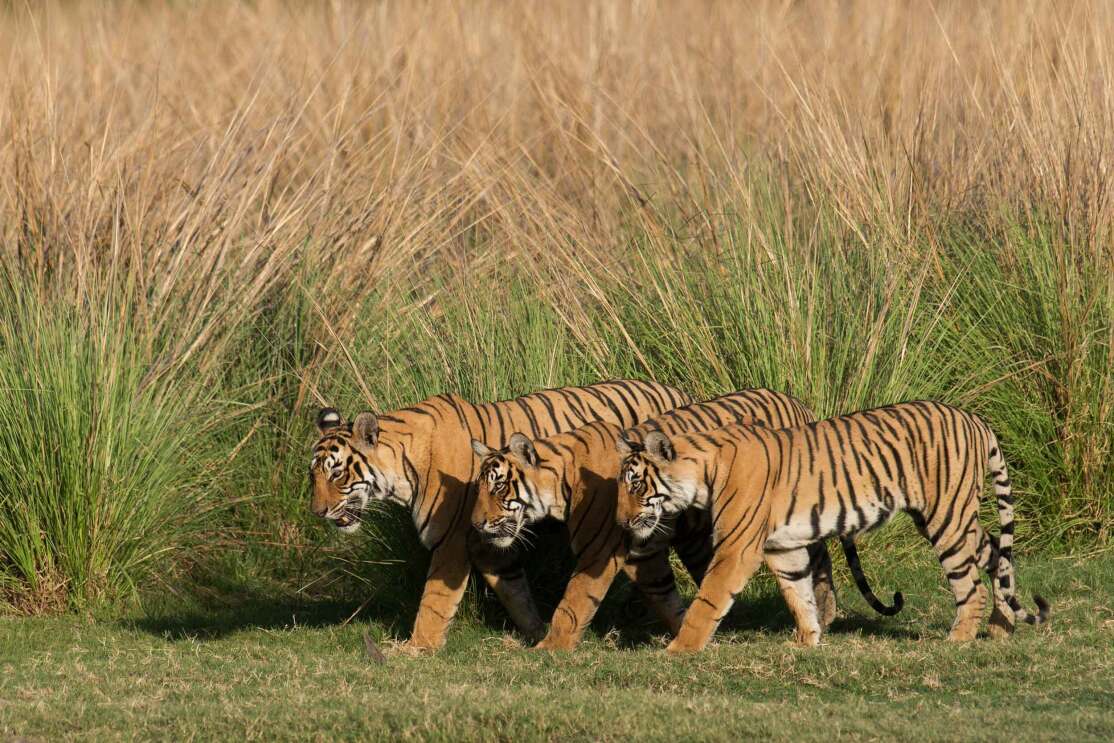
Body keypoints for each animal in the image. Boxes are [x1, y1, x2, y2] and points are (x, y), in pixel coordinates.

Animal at [309, 379, 692, 651]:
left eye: (337, 474)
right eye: (313, 475)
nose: (318, 511)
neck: (403, 470)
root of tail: (678, 391)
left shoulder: (451, 542)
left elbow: (434, 601)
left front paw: (417, 647)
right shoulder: (487, 544)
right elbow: (514, 591)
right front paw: (536, 631)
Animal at [470, 388, 901, 650]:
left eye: (498, 487)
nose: (475, 525)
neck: (563, 481)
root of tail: (800, 404)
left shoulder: (598, 553)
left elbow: (573, 602)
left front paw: (549, 647)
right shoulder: (643, 553)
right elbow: (663, 592)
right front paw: (684, 630)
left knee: (819, 558)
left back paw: (825, 617)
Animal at [615, 399, 1050, 653]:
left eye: (635, 484)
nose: (620, 521)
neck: (703, 470)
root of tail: (975, 418)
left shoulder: (736, 549)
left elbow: (708, 601)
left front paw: (678, 650)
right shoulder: (783, 548)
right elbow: (799, 595)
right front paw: (806, 642)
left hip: (947, 516)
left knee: (971, 586)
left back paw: (957, 640)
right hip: (953, 518)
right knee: (996, 556)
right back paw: (1000, 627)